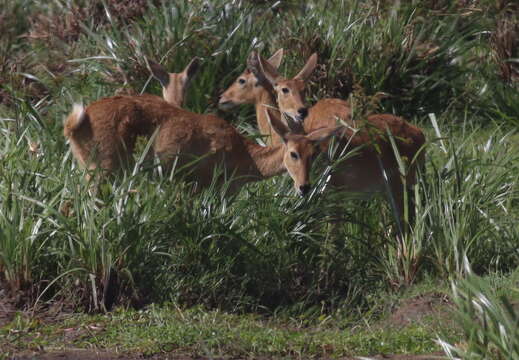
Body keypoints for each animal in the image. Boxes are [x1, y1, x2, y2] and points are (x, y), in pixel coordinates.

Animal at [249, 50, 426, 231]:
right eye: (284, 89)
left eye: (304, 89)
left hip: (400, 186)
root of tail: (421, 135)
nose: (302, 111)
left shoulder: (335, 194)